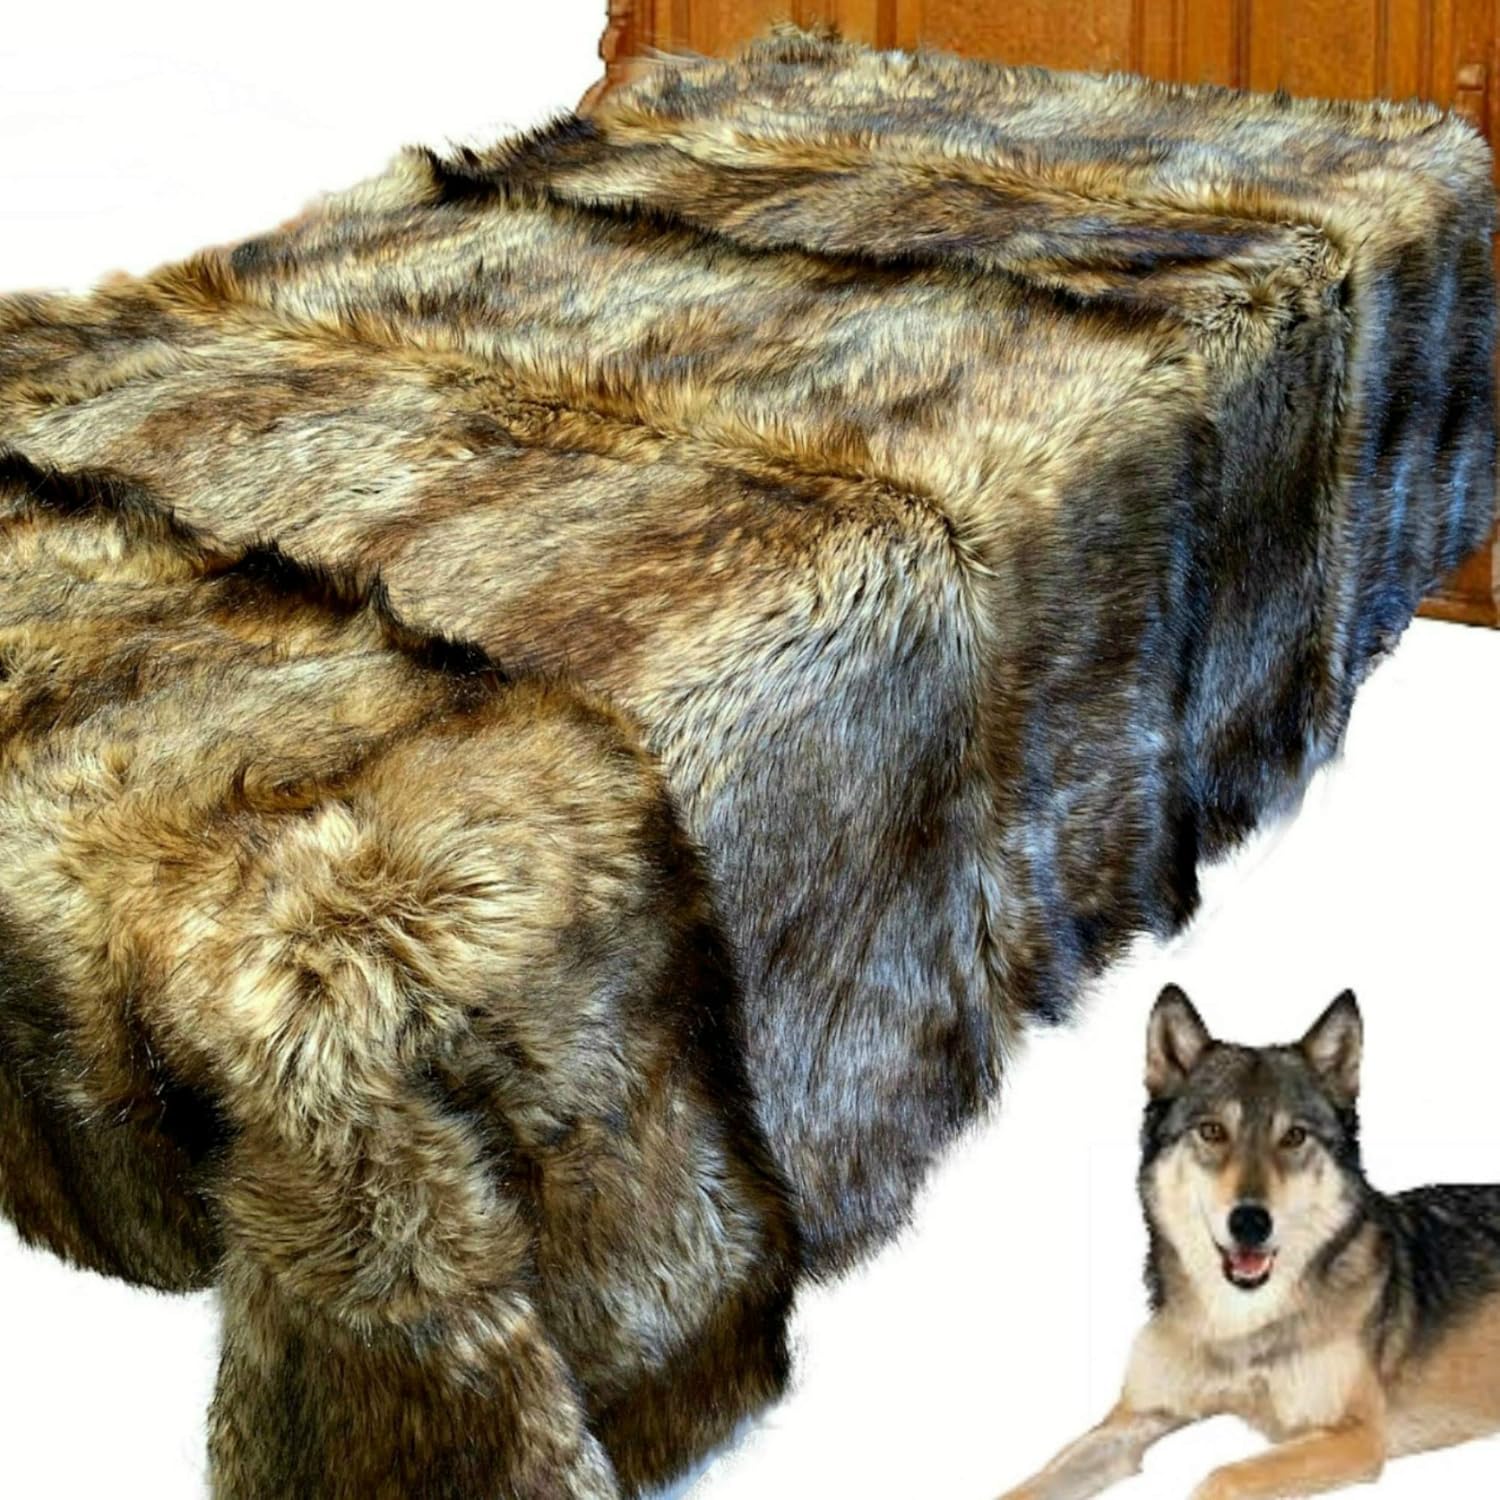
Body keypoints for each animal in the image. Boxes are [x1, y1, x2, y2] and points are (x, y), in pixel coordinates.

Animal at [998, 986, 1500, 1500]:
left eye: (1294, 1136)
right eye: (1212, 1131)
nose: (1250, 1222)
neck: (1237, 1325)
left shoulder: (1357, 1436)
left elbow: (1223, 1476)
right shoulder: (1132, 1418)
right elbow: (1033, 1482)